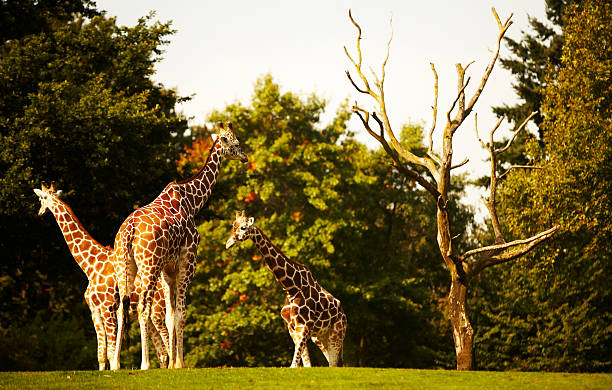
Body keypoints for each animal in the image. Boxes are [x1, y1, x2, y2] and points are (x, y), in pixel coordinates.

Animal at [35, 183, 171, 368]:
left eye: (42, 198)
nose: (40, 213)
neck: (90, 266)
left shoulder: (108, 309)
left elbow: (112, 352)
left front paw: (116, 368)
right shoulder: (95, 312)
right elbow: (102, 354)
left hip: (157, 313)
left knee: (168, 342)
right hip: (148, 318)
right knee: (161, 351)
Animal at [112, 122, 249, 368]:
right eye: (235, 143)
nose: (245, 157)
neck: (193, 202)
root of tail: (129, 230)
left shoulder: (168, 270)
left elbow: (170, 315)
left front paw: (172, 363)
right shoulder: (188, 261)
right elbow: (182, 313)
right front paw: (180, 364)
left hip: (125, 265)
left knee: (120, 308)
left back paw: (116, 364)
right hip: (149, 266)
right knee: (143, 307)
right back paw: (145, 364)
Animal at [226, 210, 350, 366]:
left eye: (243, 227)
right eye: (233, 225)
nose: (228, 243)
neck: (292, 288)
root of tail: (343, 314)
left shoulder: (304, 326)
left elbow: (294, 364)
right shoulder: (293, 329)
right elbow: (305, 364)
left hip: (336, 334)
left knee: (334, 363)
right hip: (320, 338)